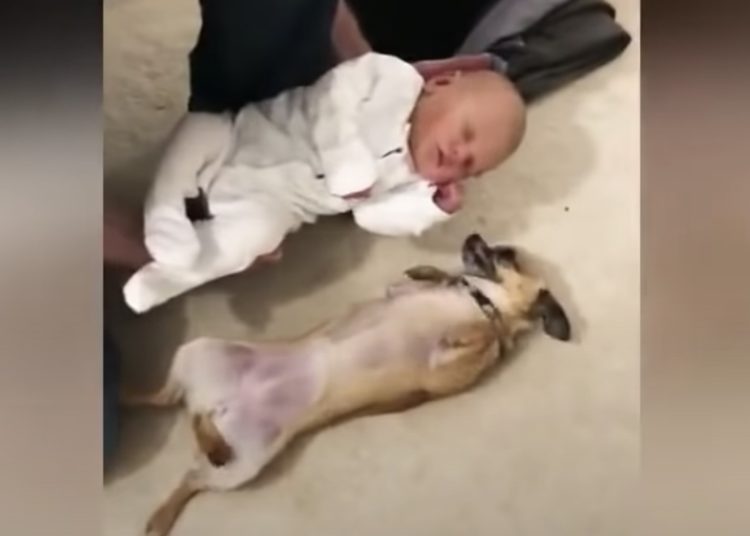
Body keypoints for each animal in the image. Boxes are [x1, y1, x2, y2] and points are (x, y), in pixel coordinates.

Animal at [121, 233, 572, 536]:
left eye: (506, 255)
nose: (474, 235)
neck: (479, 301)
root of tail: (215, 404)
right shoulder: (404, 297)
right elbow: (435, 286)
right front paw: (434, 275)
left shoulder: (448, 372)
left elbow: (486, 335)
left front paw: (486, 328)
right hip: (202, 358)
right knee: (169, 408)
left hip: (244, 459)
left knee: (189, 460)